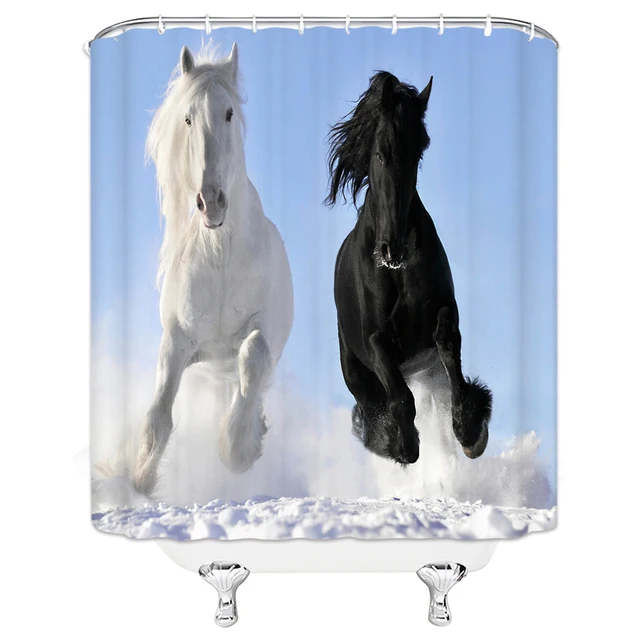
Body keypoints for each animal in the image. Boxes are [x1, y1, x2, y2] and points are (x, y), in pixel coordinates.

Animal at [133, 44, 294, 495]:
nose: (212, 202)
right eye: (188, 117)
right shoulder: (178, 341)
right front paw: (137, 481)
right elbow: (158, 416)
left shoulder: (261, 329)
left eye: (229, 113)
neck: (221, 255)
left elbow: (253, 358)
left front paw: (238, 449)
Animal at [327, 71, 492, 466]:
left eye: (418, 152)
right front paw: (403, 445)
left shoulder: (443, 311)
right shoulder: (376, 340)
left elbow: (449, 347)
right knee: (371, 406)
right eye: (381, 152)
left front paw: (470, 429)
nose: (394, 248)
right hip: (356, 371)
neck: (396, 272)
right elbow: (400, 397)